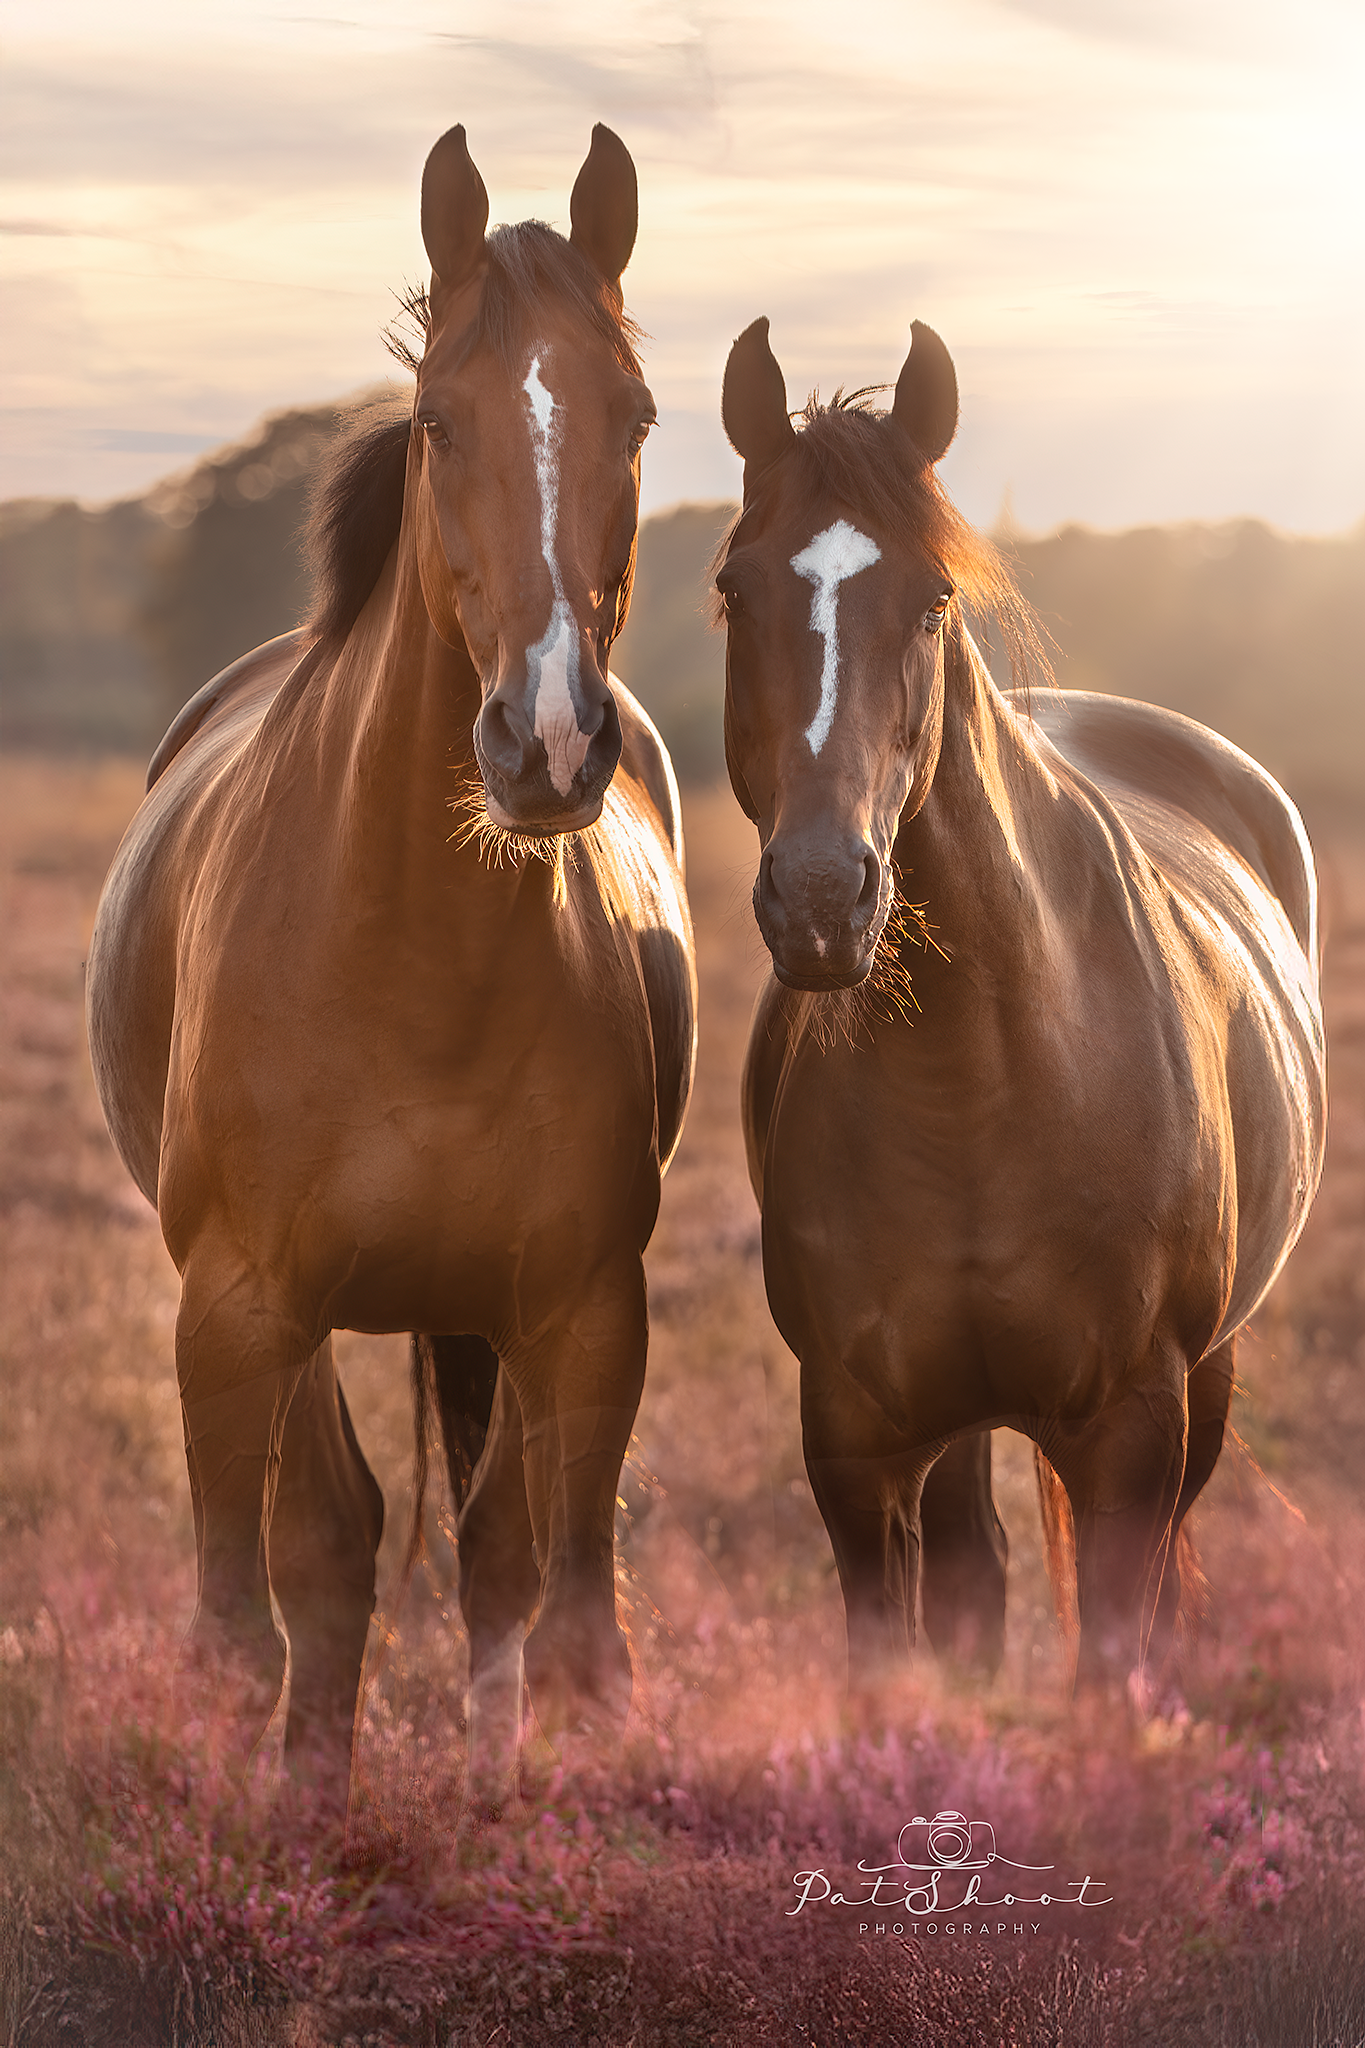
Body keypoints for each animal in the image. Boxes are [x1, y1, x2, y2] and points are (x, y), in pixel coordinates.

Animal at [85, 123, 696, 1813]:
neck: (417, 965)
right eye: (437, 423)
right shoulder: (238, 1312)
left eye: (637, 418)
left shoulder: (584, 1318)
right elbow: (272, 1599)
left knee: (490, 1552)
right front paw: (291, 1816)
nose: (547, 742)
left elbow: (556, 1610)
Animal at [716, 314, 1325, 1703]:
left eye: (934, 599)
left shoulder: (1133, 1428)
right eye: (733, 587)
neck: (978, 1080)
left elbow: (1110, 1657)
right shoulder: (856, 1437)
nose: (822, 894)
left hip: (1205, 1385)